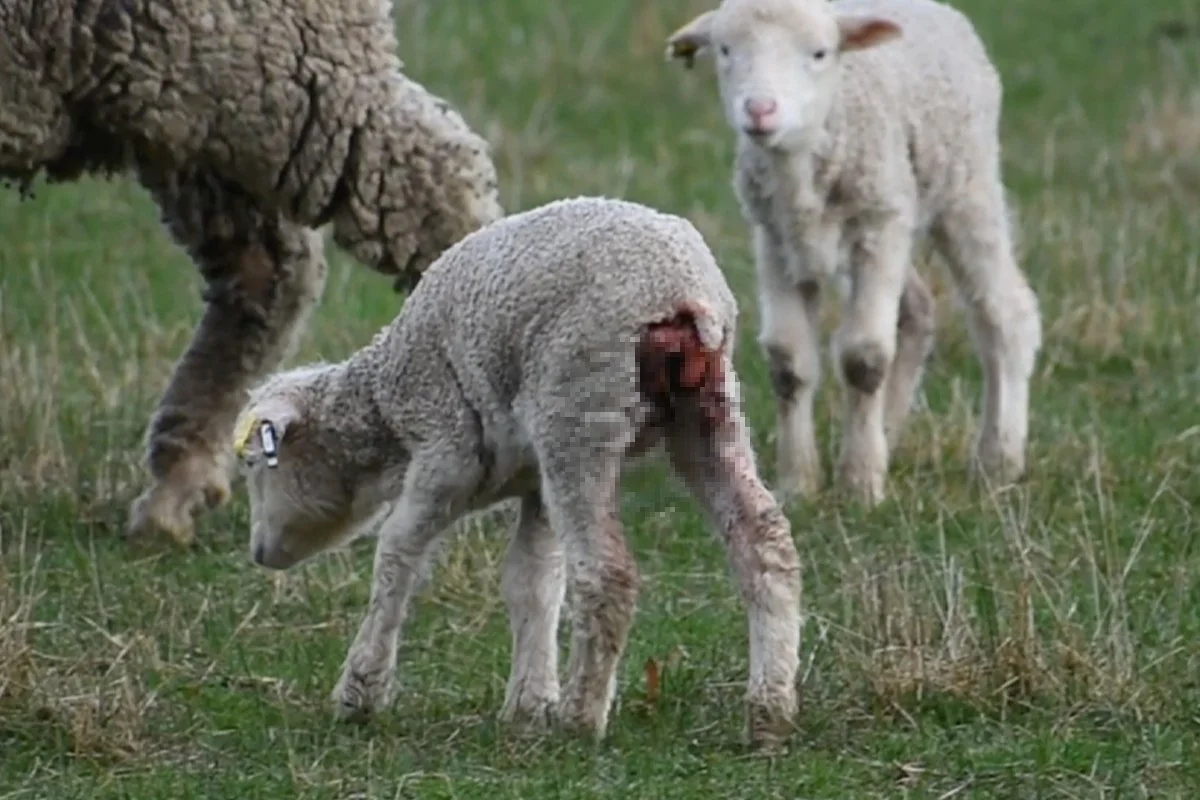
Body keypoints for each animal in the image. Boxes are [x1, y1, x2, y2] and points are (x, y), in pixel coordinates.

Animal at [231, 196, 803, 749]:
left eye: (255, 463)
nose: (259, 554)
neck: (384, 409)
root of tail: (682, 295)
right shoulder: (534, 483)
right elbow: (532, 579)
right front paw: (527, 707)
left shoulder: (445, 452)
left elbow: (396, 554)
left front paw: (361, 691)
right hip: (706, 410)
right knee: (764, 542)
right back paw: (769, 712)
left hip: (579, 412)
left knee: (606, 572)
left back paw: (581, 719)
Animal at [665, 0, 1043, 505]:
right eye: (725, 50)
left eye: (820, 53)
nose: (760, 110)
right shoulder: (776, 239)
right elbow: (788, 362)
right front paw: (798, 482)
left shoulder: (878, 225)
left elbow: (864, 358)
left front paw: (860, 484)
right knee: (918, 311)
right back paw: (889, 431)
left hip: (964, 187)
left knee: (1005, 314)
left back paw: (999, 457)